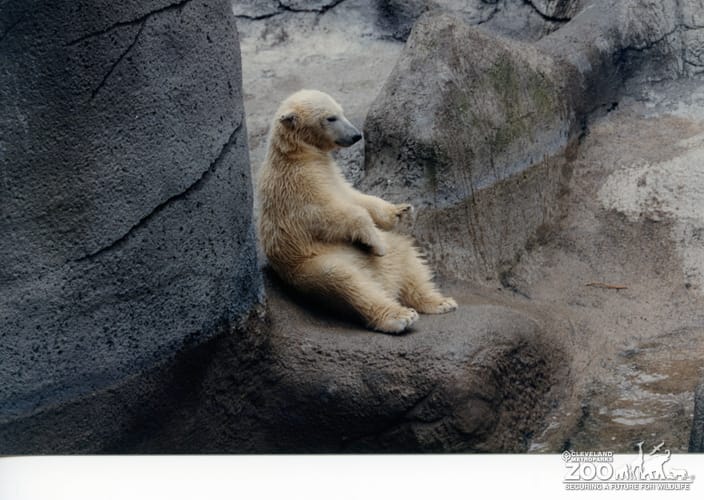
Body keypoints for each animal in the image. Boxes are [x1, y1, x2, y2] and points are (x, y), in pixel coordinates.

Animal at [256, 89, 456, 333]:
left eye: (341, 112)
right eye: (330, 118)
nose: (355, 136)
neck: (297, 154)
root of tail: (383, 282)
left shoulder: (329, 173)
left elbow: (354, 196)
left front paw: (400, 211)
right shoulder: (296, 185)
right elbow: (325, 214)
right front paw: (376, 243)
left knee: (406, 256)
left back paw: (440, 302)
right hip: (313, 267)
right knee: (348, 282)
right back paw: (399, 316)